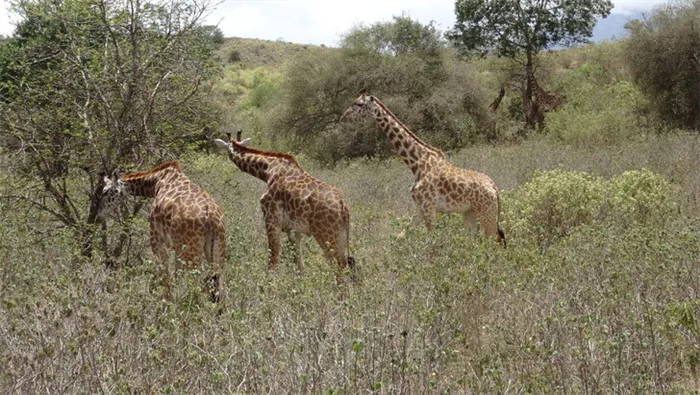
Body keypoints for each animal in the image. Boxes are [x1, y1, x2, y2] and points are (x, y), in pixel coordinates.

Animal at [95, 161, 227, 304]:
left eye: (105, 192)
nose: (98, 217)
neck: (155, 182)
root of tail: (210, 216)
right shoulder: (177, 248)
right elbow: (175, 275)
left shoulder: (156, 238)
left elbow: (164, 276)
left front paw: (165, 303)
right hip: (216, 250)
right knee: (219, 287)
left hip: (191, 252)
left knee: (196, 284)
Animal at [212, 131, 356, 284]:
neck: (268, 169)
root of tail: (342, 207)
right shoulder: (294, 229)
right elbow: (299, 263)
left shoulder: (271, 219)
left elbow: (273, 259)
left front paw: (269, 284)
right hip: (341, 235)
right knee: (347, 264)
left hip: (325, 236)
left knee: (337, 267)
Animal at [340, 93, 504, 248]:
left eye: (360, 104)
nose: (344, 116)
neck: (417, 163)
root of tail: (494, 188)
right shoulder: (419, 208)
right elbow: (401, 235)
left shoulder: (429, 207)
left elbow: (432, 240)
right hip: (470, 212)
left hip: (487, 213)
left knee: (496, 242)